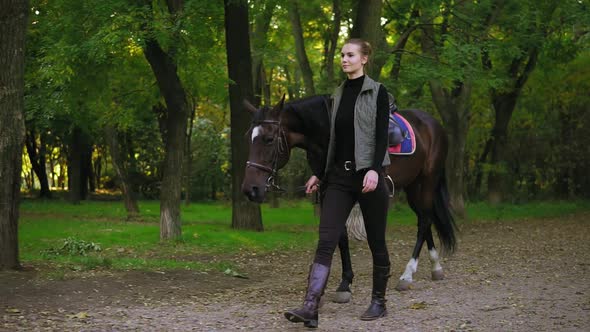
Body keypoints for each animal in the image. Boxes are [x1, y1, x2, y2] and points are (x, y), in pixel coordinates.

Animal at [240, 94, 458, 296]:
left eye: (269, 139)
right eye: (248, 138)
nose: (250, 189)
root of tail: (433, 123)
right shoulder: (329, 190)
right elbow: (340, 236)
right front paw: (345, 283)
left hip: (428, 180)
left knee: (424, 220)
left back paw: (407, 275)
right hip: (413, 185)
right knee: (425, 218)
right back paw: (435, 266)